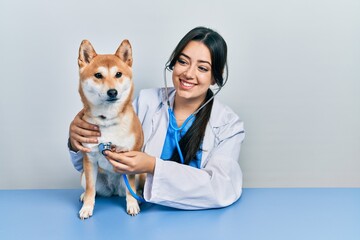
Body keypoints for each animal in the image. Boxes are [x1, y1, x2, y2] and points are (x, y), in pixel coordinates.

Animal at [77, 39, 143, 219]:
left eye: (118, 74)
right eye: (98, 75)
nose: (112, 92)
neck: (107, 120)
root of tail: (113, 190)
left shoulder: (130, 159)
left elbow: (130, 188)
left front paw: (132, 204)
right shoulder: (90, 159)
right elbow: (91, 189)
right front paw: (87, 207)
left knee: (134, 189)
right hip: (85, 176)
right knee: (92, 189)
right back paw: (84, 196)